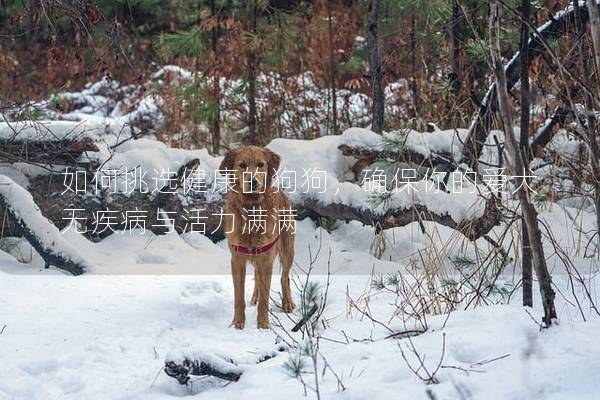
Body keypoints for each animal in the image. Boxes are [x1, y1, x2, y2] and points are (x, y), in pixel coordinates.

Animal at [220, 145, 296, 330]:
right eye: (242, 165)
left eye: (261, 165)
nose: (252, 181)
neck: (251, 207)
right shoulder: (237, 259)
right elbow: (239, 297)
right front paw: (237, 323)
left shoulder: (267, 259)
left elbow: (265, 298)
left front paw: (263, 325)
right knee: (257, 276)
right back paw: (254, 297)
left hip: (287, 249)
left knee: (285, 277)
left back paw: (287, 303)